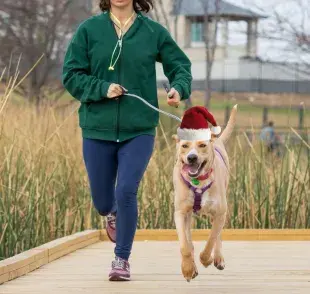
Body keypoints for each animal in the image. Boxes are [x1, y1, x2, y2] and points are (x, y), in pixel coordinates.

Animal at [173, 104, 236, 282]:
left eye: (202, 145)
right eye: (185, 146)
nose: (192, 158)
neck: (198, 182)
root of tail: (217, 139)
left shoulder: (220, 213)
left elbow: (211, 240)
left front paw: (206, 259)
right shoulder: (180, 212)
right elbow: (185, 245)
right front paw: (188, 269)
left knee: (217, 236)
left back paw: (218, 258)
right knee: (189, 239)